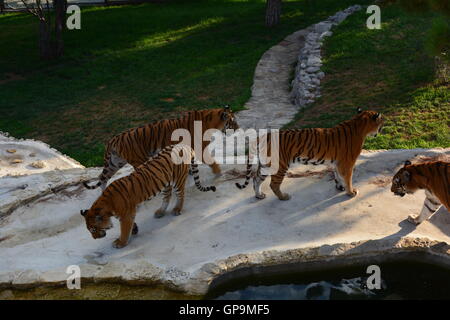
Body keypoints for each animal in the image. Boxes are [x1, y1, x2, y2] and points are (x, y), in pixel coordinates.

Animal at [80, 144, 216, 249]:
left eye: (93, 229)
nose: (95, 238)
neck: (108, 207)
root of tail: (183, 145)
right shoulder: (128, 214)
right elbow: (130, 225)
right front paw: (134, 230)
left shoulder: (126, 215)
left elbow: (124, 230)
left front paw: (121, 242)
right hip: (165, 183)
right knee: (167, 196)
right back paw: (160, 212)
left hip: (178, 179)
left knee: (181, 195)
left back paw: (177, 209)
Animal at [84, 106, 239, 190]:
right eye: (232, 121)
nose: (238, 128)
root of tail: (113, 139)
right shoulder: (199, 148)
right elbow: (211, 161)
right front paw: (218, 172)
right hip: (138, 159)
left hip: (115, 163)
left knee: (103, 178)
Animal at [236, 109, 384, 201]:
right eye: (381, 120)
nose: (384, 122)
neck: (359, 123)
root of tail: (261, 137)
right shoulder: (346, 163)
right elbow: (348, 178)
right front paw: (351, 192)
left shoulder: (337, 162)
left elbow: (338, 176)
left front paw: (340, 187)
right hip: (280, 165)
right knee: (273, 184)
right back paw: (284, 197)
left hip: (266, 165)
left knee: (256, 179)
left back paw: (259, 195)